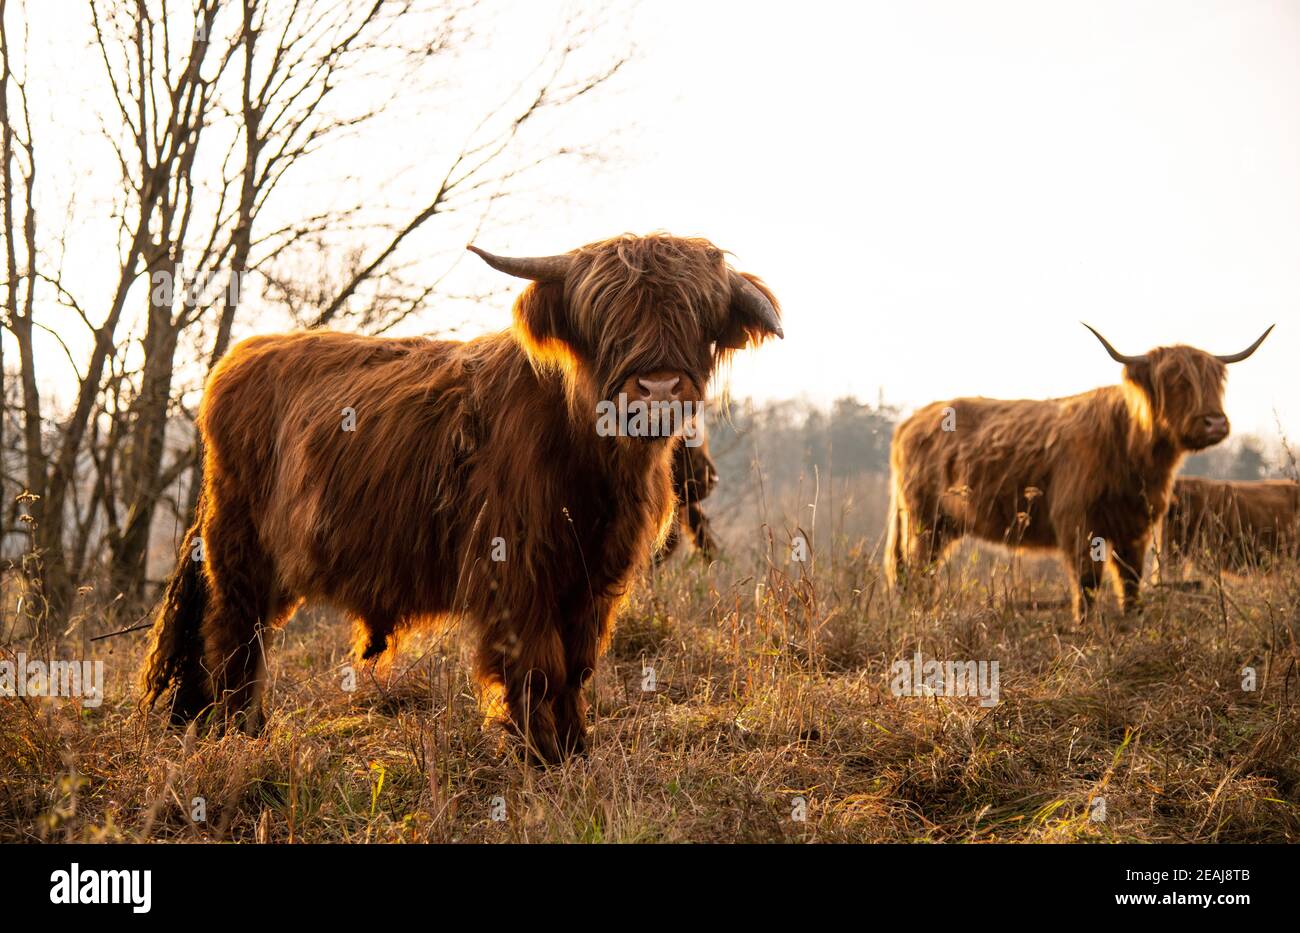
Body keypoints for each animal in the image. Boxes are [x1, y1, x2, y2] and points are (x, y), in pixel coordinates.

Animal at [884, 324, 1273, 621]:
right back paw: (922, 615)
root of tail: (910, 422)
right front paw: (1084, 626)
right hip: (924, 520)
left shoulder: (1136, 525)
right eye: (1174, 381)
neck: (1135, 453)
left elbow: (1130, 577)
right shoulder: (1077, 520)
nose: (1215, 422)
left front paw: (1133, 621)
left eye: (1217, 381)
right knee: (919, 569)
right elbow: (1088, 579)